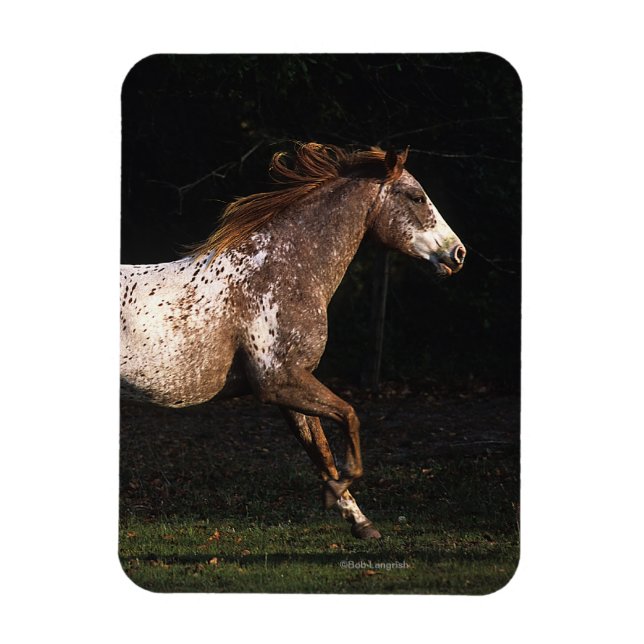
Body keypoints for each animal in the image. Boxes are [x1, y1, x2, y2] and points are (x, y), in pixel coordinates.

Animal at [120, 142, 466, 539]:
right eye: (417, 196)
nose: (458, 253)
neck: (280, 271)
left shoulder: (294, 388)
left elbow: (322, 453)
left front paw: (358, 520)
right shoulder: (279, 381)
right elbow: (349, 417)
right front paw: (337, 493)